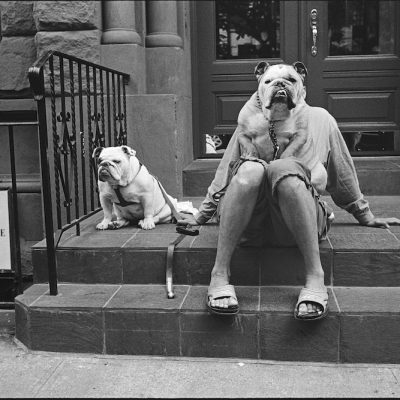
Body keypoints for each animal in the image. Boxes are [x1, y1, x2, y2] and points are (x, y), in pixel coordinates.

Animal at [236, 60, 326, 191]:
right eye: (267, 81)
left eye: (292, 80)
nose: (280, 83)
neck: (276, 112)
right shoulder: (243, 134)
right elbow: (250, 147)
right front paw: (252, 156)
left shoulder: (299, 136)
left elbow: (289, 151)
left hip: (321, 173)